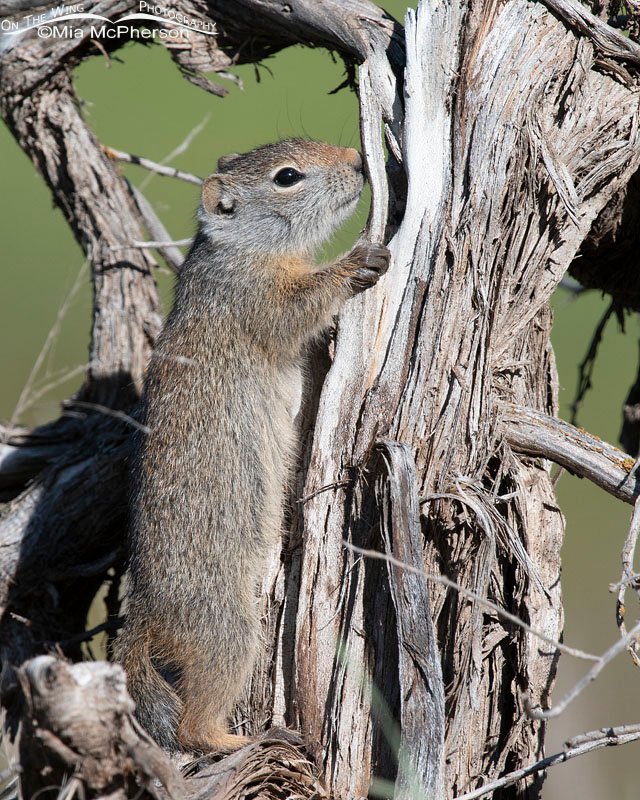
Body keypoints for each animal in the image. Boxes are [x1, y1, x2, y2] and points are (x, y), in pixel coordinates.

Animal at [114, 138, 390, 754]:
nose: (358, 159)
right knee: (194, 723)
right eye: (286, 177)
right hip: (230, 629)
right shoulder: (256, 296)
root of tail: (143, 614)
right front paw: (356, 262)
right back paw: (241, 742)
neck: (235, 250)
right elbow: (298, 307)